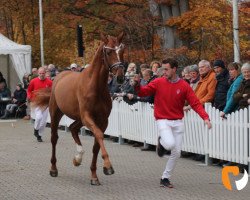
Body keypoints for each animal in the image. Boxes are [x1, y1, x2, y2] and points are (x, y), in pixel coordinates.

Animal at [34, 32, 125, 184]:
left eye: (122, 50)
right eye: (108, 52)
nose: (120, 77)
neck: (95, 86)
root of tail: (59, 76)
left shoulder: (102, 120)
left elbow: (96, 146)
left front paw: (94, 175)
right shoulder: (88, 116)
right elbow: (99, 135)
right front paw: (108, 166)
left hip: (79, 118)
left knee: (73, 128)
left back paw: (78, 158)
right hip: (56, 114)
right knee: (54, 138)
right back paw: (53, 168)